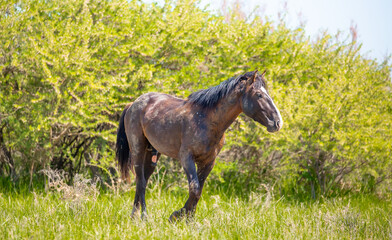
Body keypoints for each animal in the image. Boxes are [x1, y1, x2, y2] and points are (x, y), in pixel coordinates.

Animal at [115, 69, 284, 221]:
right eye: (259, 95)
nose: (277, 123)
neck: (207, 120)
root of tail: (133, 104)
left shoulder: (208, 162)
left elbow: (199, 191)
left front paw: (189, 219)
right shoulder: (187, 158)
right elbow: (194, 189)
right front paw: (177, 216)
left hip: (152, 154)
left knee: (142, 180)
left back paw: (134, 217)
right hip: (138, 148)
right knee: (141, 182)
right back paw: (143, 217)